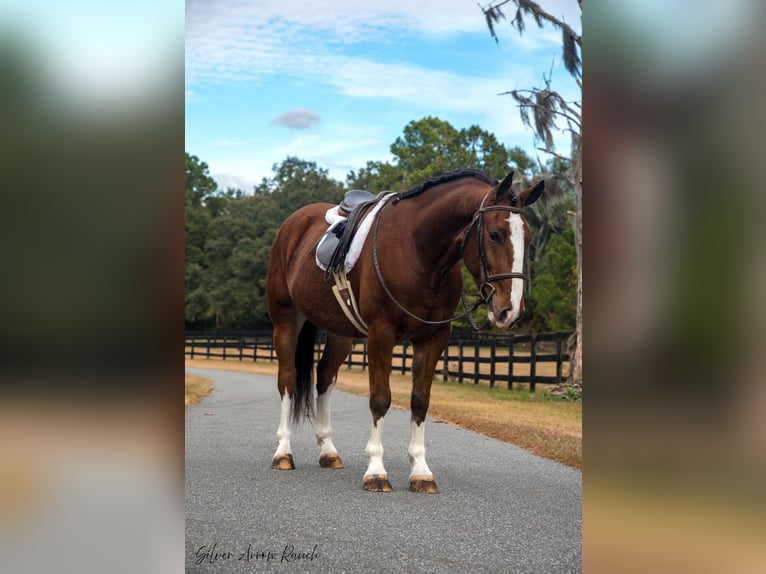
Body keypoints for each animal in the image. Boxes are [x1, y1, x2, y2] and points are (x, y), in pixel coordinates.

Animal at [268, 169, 544, 492]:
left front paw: (421, 472)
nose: (510, 310)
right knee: (287, 379)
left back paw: (328, 451)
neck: (419, 251)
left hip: (340, 333)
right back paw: (283, 453)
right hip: (286, 320)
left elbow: (420, 401)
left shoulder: (433, 339)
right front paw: (376, 471)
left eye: (528, 238)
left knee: (324, 377)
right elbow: (380, 399)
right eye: (494, 234)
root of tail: (293, 224)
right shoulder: (381, 334)